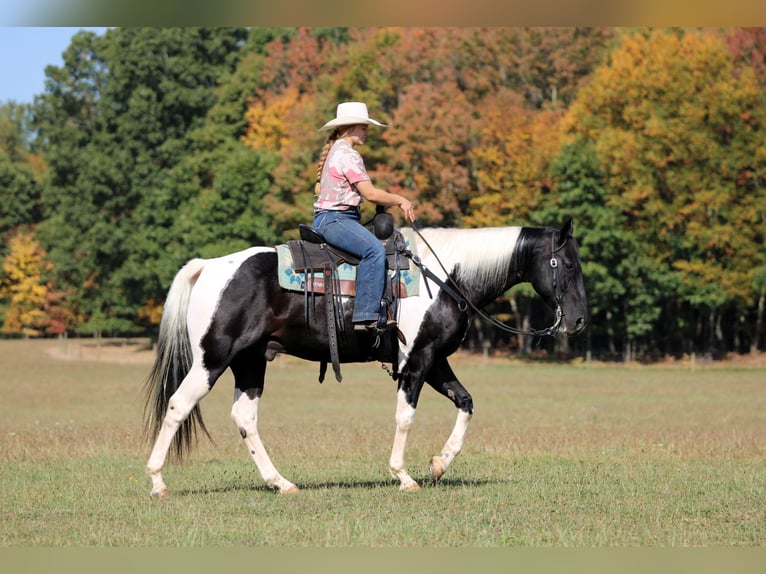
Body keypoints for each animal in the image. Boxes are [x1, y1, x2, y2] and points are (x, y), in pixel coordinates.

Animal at [142, 219, 588, 496]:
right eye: (567, 263)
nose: (579, 320)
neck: (445, 278)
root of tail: (209, 267)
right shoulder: (417, 361)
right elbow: (405, 416)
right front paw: (403, 475)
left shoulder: (435, 360)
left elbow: (466, 403)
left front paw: (439, 464)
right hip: (212, 360)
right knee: (178, 405)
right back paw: (158, 481)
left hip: (250, 362)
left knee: (244, 419)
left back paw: (280, 482)